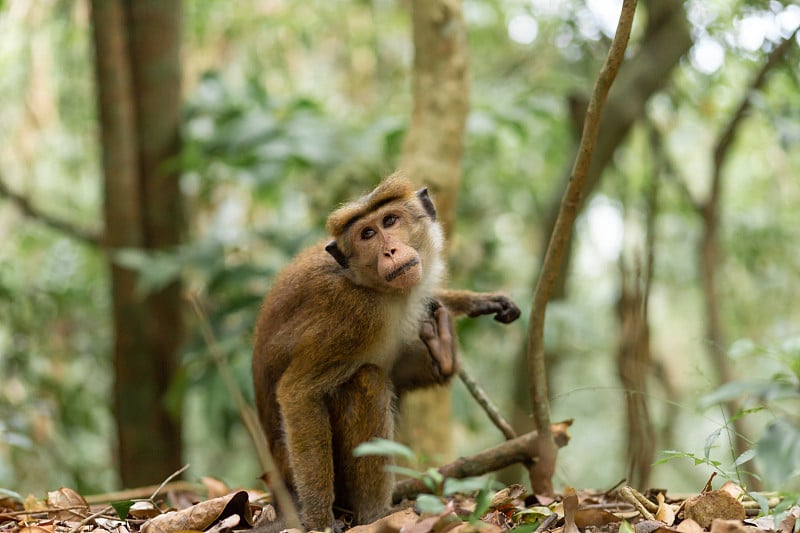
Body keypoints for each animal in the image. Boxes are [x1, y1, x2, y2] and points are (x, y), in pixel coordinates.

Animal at [253, 172, 520, 528]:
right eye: (367, 234)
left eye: (390, 221)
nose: (391, 250)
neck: (376, 289)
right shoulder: (352, 316)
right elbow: (298, 394)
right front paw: (319, 519)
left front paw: (472, 304)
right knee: (368, 380)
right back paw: (375, 513)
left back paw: (443, 351)